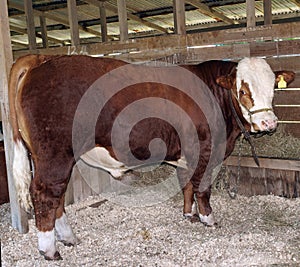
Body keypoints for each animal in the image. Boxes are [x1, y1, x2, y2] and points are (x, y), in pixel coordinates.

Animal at [8, 54, 292, 260]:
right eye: (243, 91)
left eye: (272, 89)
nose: (269, 123)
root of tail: (43, 58)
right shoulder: (207, 149)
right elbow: (202, 187)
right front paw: (208, 219)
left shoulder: (187, 153)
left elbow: (186, 183)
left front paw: (188, 215)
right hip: (54, 155)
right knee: (46, 194)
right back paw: (50, 249)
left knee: (57, 197)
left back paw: (68, 237)